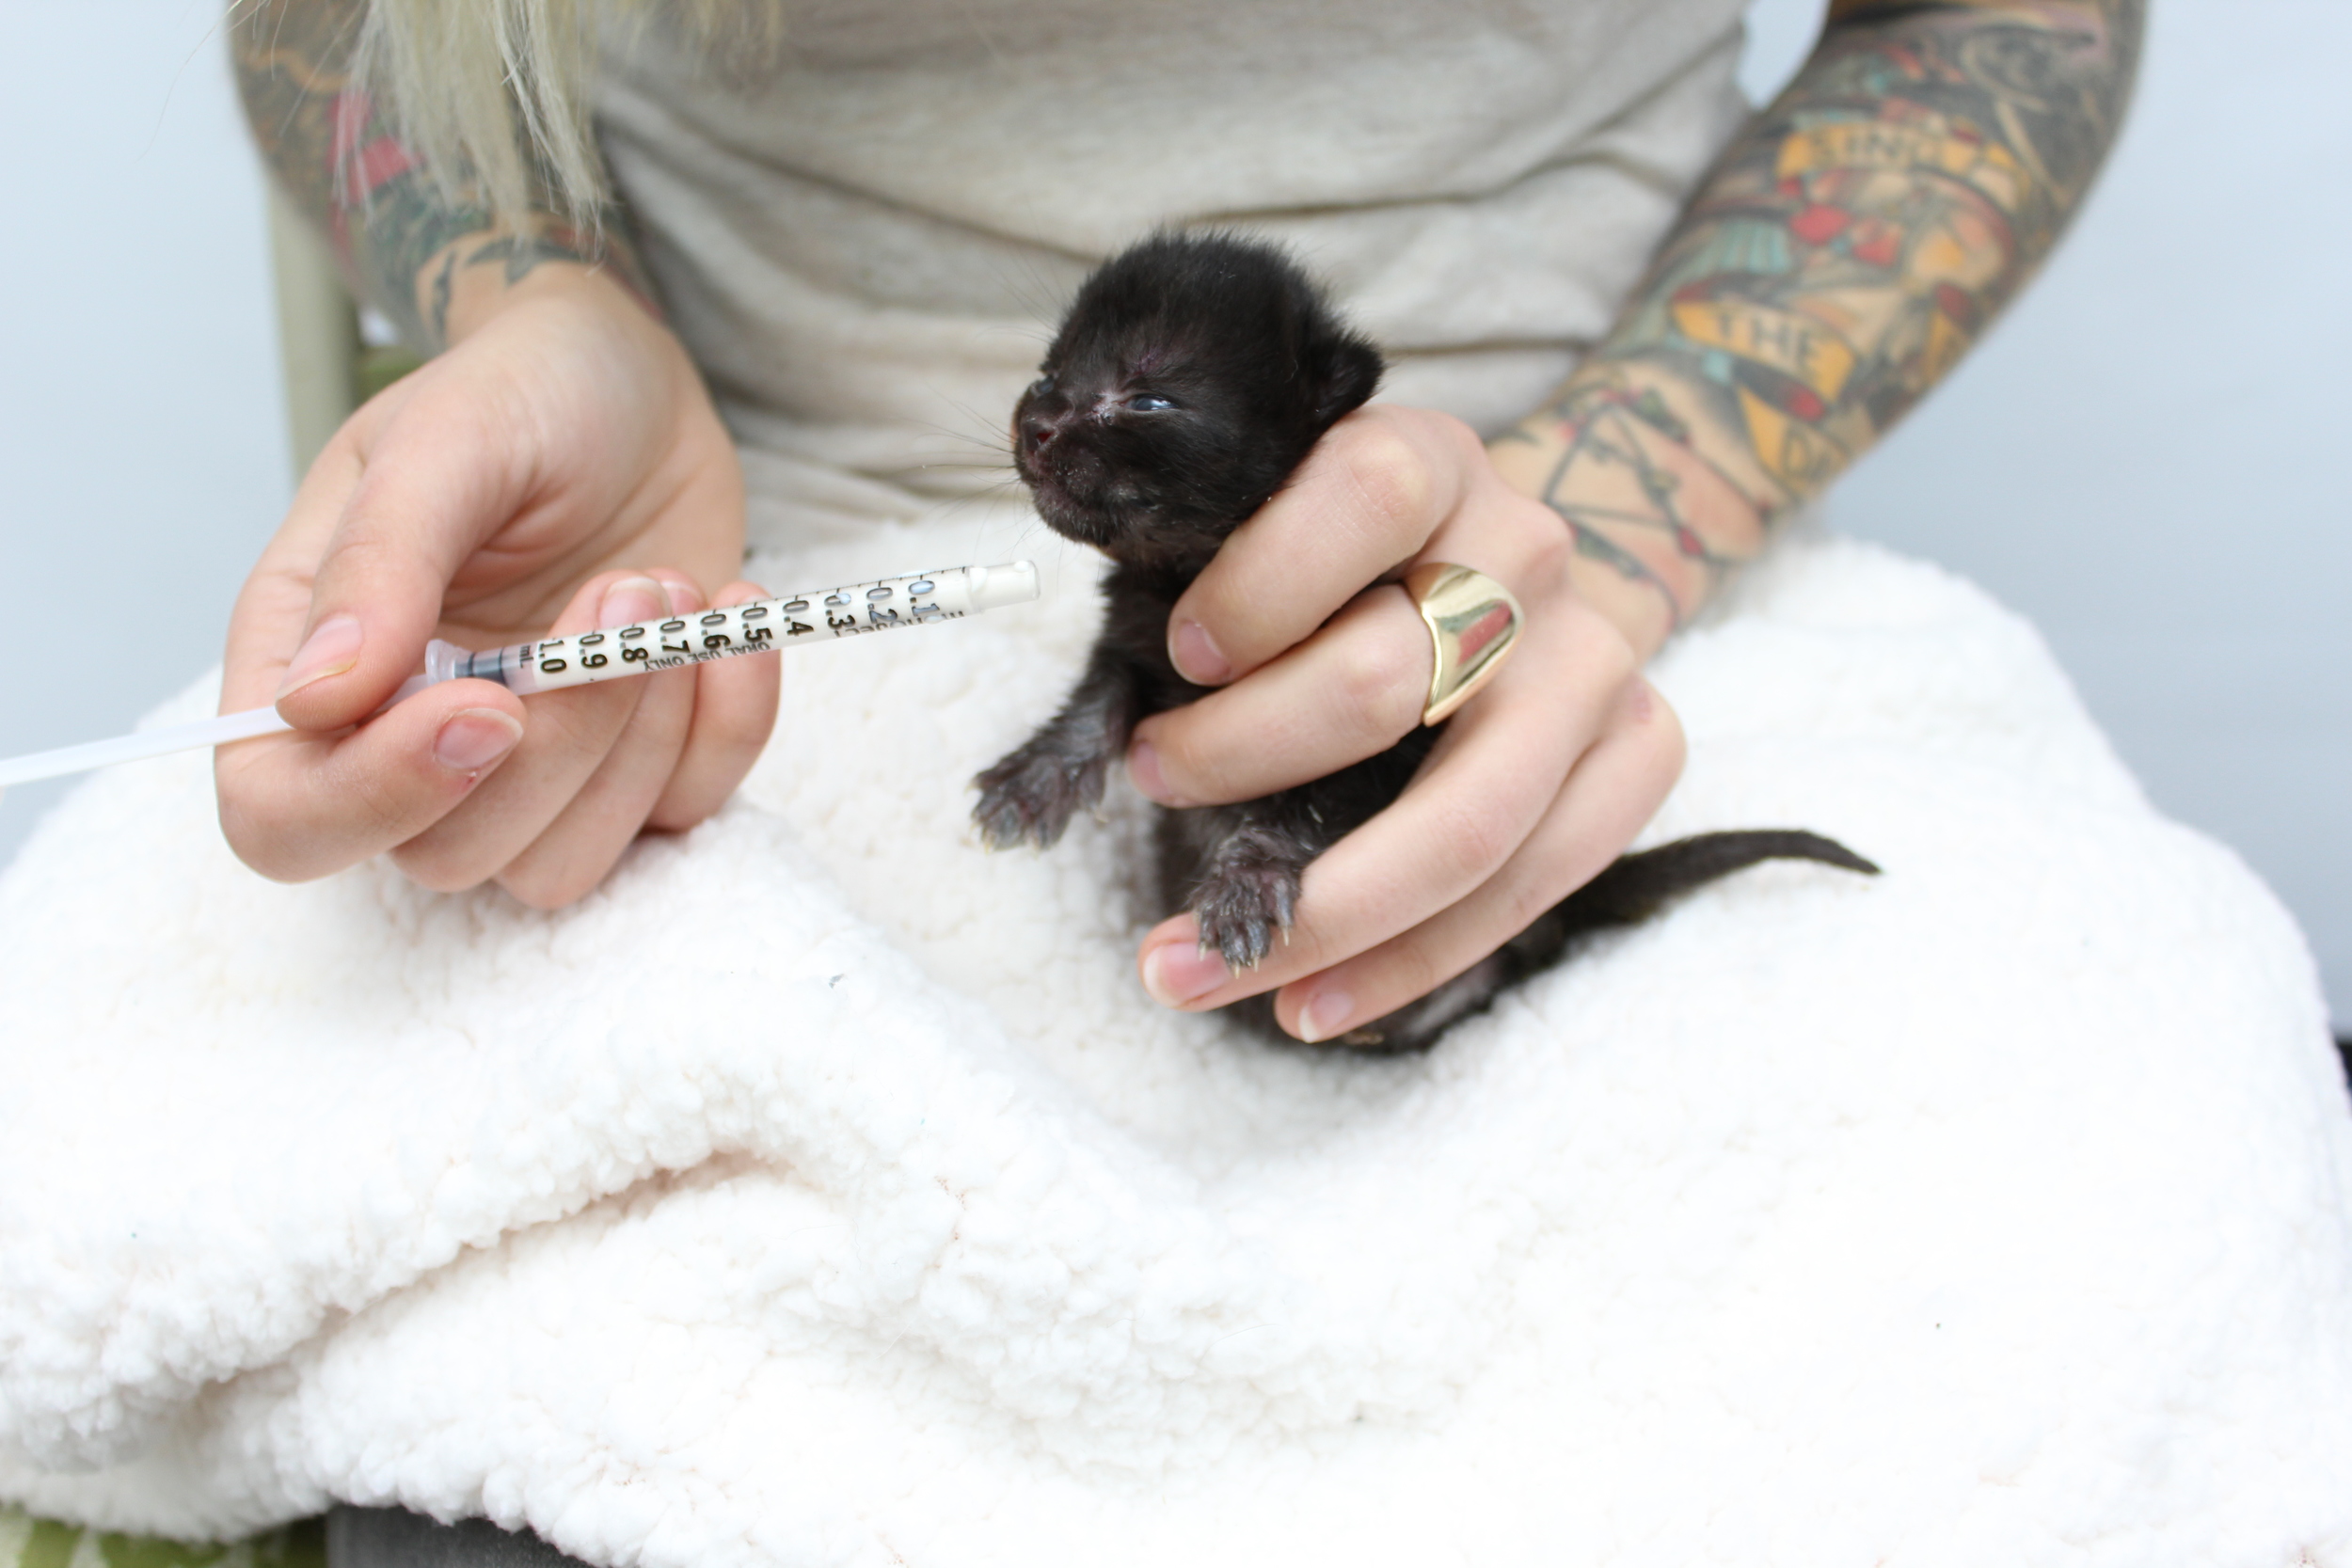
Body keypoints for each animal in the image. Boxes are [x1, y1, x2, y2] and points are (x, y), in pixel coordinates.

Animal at [964, 236, 1863, 1053]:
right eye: (1049, 371)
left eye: (1149, 398)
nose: (1036, 422)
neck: (1180, 577)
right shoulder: (1134, 640)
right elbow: (1098, 700)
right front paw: (1033, 779)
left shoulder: (1377, 746)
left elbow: (1304, 804)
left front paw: (1247, 879)